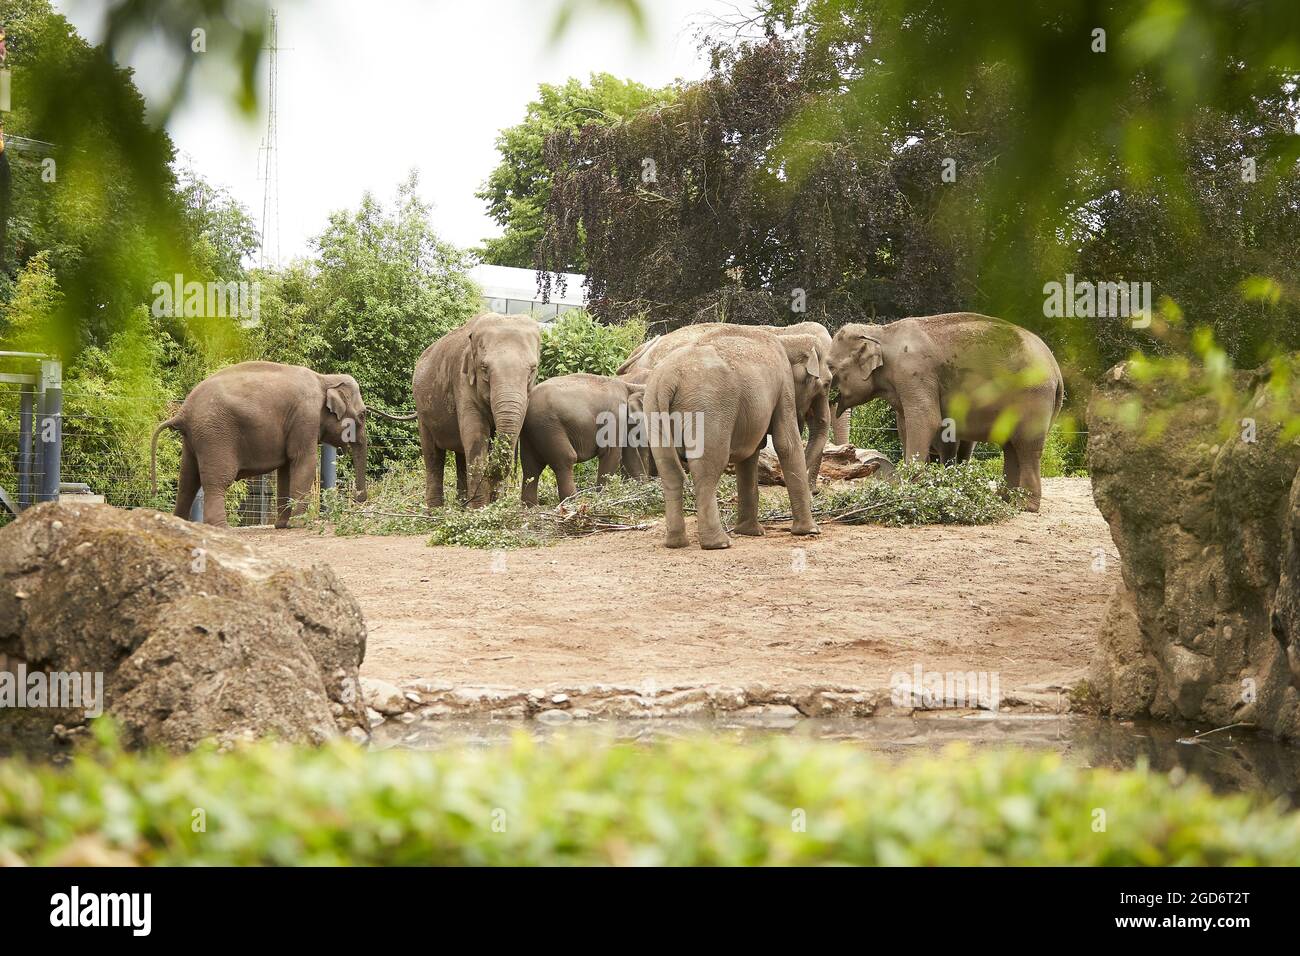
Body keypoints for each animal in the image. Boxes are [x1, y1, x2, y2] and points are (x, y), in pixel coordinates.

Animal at [149, 361, 372, 527]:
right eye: (362, 415)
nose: (359, 498)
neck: (325, 378)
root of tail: (182, 413)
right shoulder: (306, 417)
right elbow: (304, 462)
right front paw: (300, 524)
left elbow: (286, 470)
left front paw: (283, 525)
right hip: (214, 435)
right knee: (216, 481)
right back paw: (221, 528)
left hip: (193, 439)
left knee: (187, 480)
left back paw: (177, 523)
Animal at [413, 312, 541, 510]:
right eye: (484, 368)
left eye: (533, 369)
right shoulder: (462, 381)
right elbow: (476, 438)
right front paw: (479, 509)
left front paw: (494, 506)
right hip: (423, 414)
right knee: (433, 456)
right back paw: (436, 510)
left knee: (460, 456)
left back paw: (461, 505)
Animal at [519, 373, 647, 505]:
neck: (629, 386)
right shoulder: (615, 417)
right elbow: (611, 454)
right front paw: (602, 498)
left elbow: (631, 455)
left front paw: (644, 491)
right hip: (548, 426)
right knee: (566, 459)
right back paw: (572, 503)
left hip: (531, 432)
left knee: (530, 467)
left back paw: (531, 506)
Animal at [643, 325, 818, 549]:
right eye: (824, 383)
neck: (786, 337)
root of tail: (668, 379)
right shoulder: (784, 384)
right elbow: (786, 443)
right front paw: (810, 531)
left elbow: (751, 454)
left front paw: (751, 532)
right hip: (709, 409)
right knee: (708, 467)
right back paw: (719, 543)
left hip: (653, 406)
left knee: (669, 469)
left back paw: (676, 543)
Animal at [828, 312, 1063, 511]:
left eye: (830, 367)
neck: (882, 332)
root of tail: (1056, 369)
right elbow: (904, 424)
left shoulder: (914, 373)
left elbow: (926, 420)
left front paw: (910, 491)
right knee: (1011, 447)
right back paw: (1005, 500)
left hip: (1033, 396)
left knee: (1027, 447)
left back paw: (1026, 506)